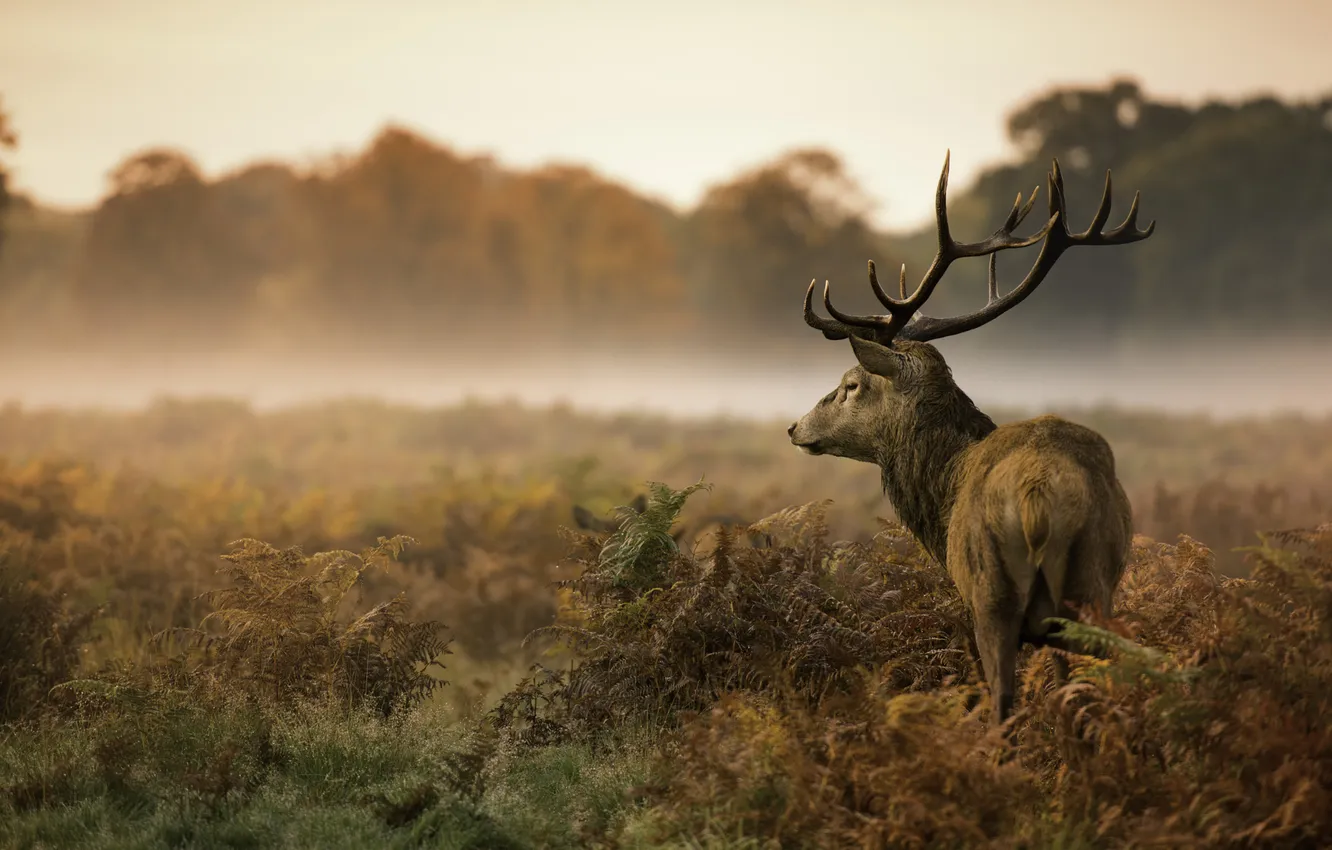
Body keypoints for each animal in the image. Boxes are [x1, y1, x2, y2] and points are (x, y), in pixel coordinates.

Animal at [787, 151, 1154, 726]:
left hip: (992, 595)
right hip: (1093, 583)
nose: (795, 427)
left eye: (851, 384)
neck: (945, 484)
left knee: (1001, 701)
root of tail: (1037, 499)